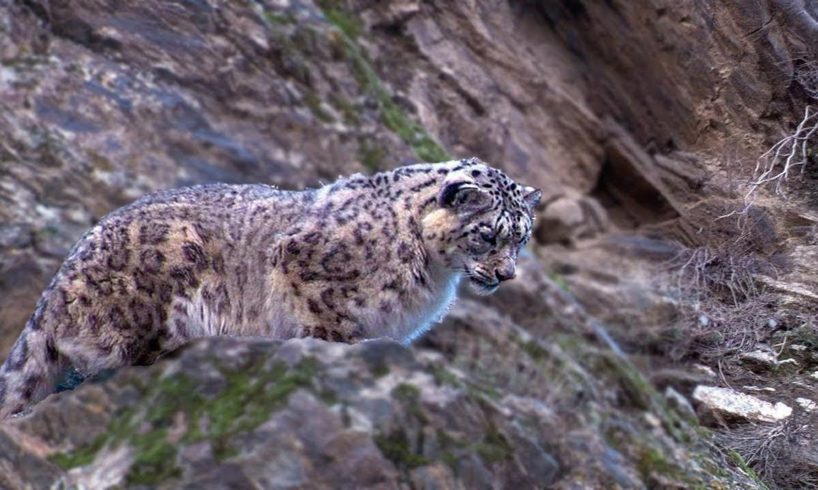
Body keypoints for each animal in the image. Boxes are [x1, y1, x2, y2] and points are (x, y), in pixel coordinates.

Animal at [0, 157, 540, 418]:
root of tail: (54, 288)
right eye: (488, 234)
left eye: (523, 236)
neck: (433, 279)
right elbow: (330, 323)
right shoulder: (305, 265)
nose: (507, 275)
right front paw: (338, 347)